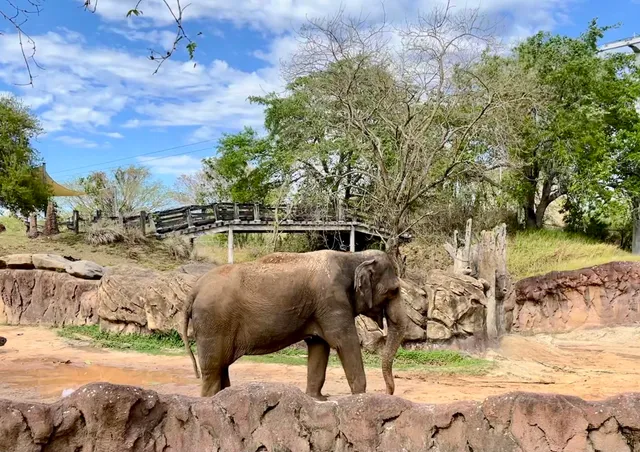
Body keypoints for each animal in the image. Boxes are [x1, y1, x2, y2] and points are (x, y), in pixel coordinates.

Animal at [181, 249, 407, 400]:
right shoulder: (332, 301)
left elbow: (319, 345)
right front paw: (361, 397)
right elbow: (344, 342)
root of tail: (194, 290)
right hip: (213, 322)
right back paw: (210, 400)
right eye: (393, 291)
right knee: (213, 369)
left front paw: (317, 399)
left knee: (222, 367)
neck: (353, 256)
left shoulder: (321, 309)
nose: (388, 393)